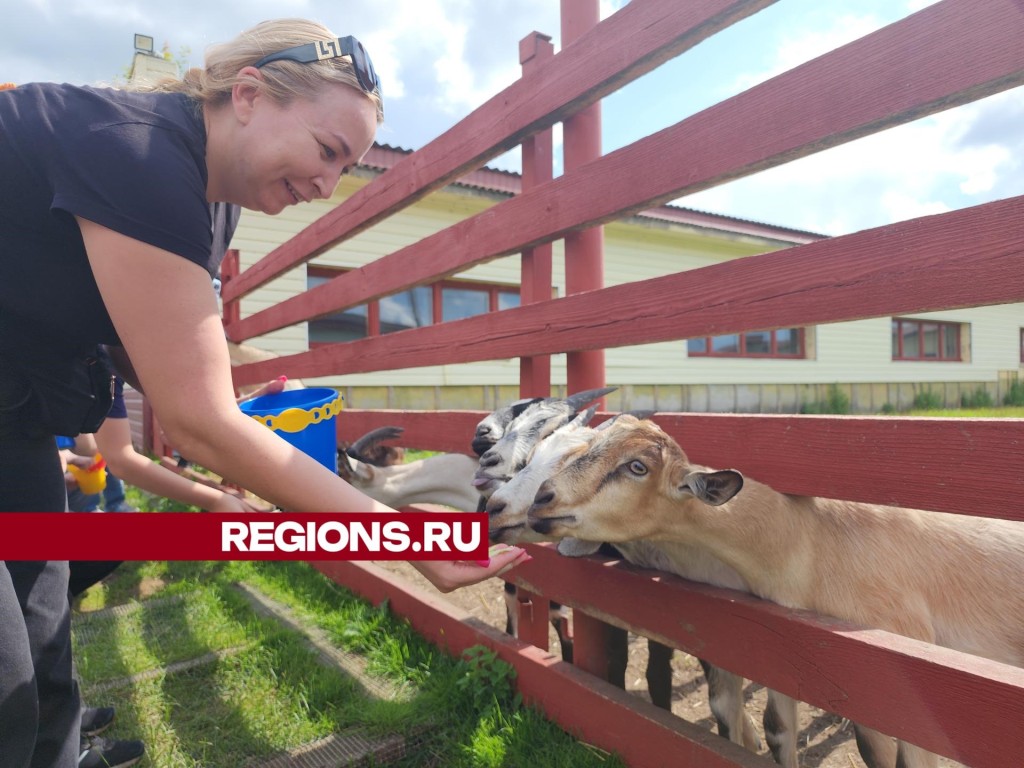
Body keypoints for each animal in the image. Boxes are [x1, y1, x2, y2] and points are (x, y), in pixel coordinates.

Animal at [528, 417, 1024, 768]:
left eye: (636, 467)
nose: (541, 500)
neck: (810, 541)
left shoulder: (910, 680)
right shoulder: (786, 648)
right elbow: (777, 731)